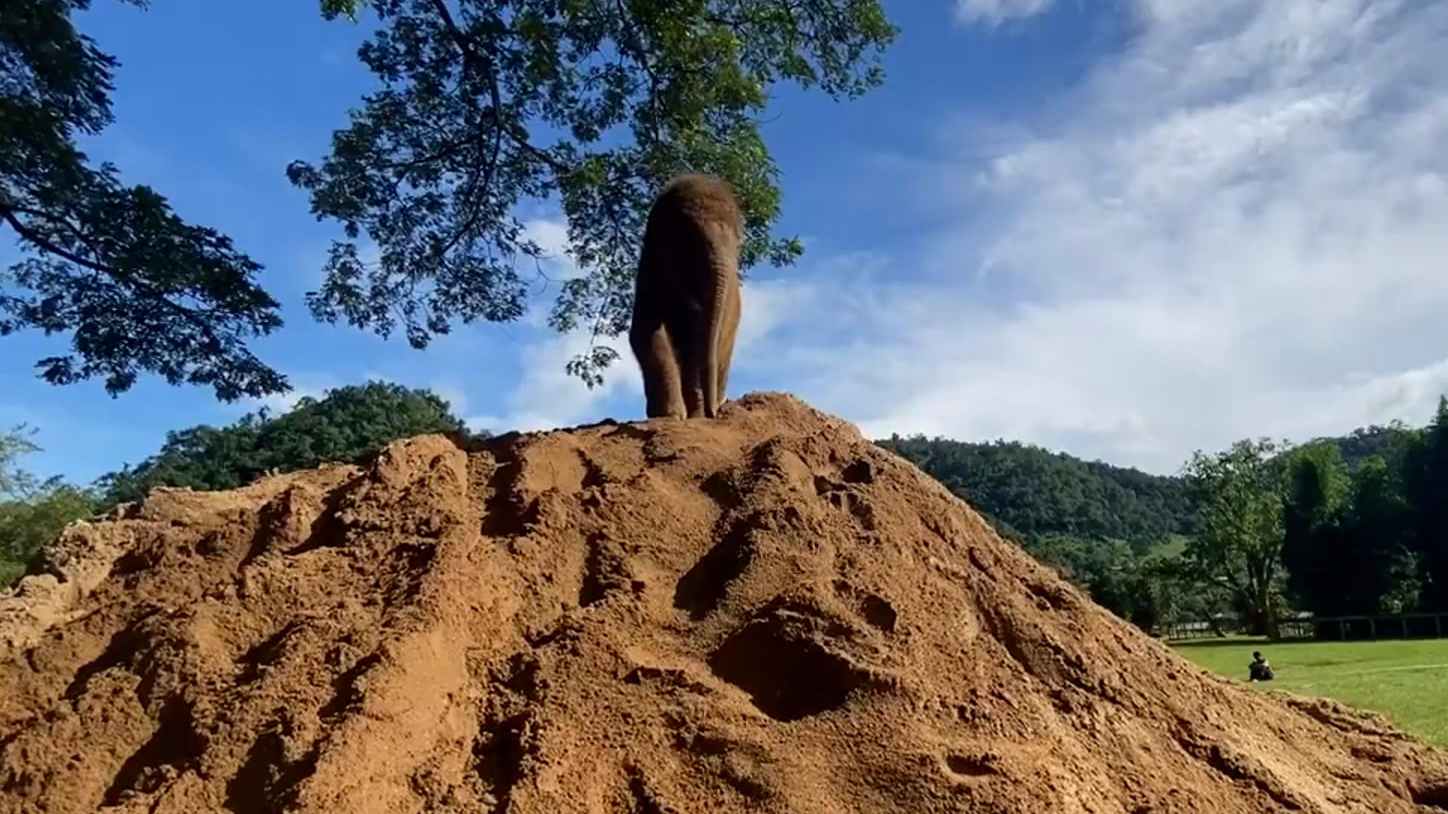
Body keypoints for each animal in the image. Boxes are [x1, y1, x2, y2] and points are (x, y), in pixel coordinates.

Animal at [628, 173, 744, 420]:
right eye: (686, 241)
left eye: (737, 245)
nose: (713, 413)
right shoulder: (649, 275)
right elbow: (645, 332)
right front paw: (671, 415)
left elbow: (699, 340)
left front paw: (696, 415)